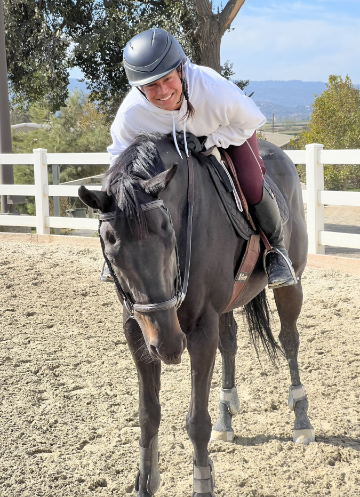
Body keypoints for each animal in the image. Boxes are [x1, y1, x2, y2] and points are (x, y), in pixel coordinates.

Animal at [78, 133, 312, 496]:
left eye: (167, 231)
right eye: (110, 247)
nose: (170, 345)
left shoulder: (200, 330)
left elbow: (196, 421)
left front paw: (202, 482)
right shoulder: (138, 333)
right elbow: (148, 414)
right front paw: (145, 481)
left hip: (291, 283)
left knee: (289, 340)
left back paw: (301, 419)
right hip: (224, 307)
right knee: (229, 344)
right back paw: (226, 416)